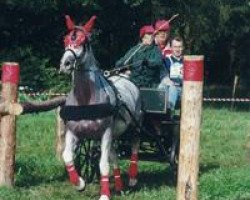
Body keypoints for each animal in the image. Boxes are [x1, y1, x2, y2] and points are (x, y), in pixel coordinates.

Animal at [57, 14, 142, 199]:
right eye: (66, 39)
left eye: (84, 41)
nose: (65, 64)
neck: (85, 100)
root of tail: (126, 78)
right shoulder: (74, 132)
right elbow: (67, 156)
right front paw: (79, 183)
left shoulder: (105, 133)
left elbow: (103, 164)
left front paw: (104, 194)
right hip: (115, 133)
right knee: (114, 156)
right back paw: (119, 185)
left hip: (134, 125)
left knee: (134, 146)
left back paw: (133, 178)